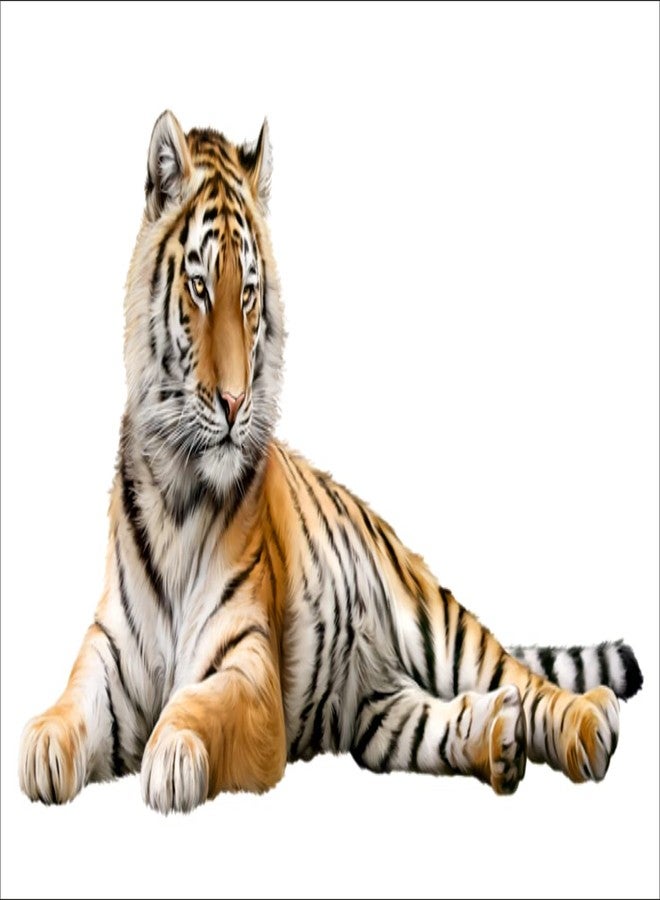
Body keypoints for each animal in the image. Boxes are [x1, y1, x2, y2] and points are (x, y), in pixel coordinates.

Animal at [19, 111, 643, 814]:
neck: (179, 486)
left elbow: (195, 707)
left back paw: (589, 722)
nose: (234, 402)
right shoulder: (110, 659)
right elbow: (71, 707)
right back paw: (499, 740)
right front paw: (41, 746)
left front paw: (174, 755)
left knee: (524, 681)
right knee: (449, 719)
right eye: (200, 287)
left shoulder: (248, 669)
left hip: (440, 626)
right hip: (383, 719)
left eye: (249, 294)